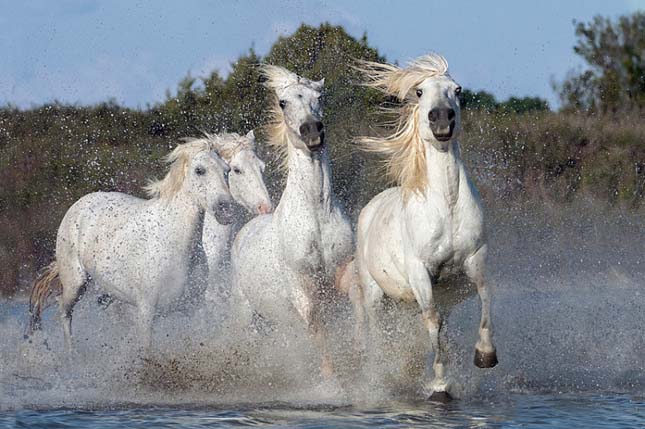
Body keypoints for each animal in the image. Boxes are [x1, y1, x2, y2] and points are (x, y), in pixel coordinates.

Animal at [28, 139, 234, 350]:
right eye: (199, 170)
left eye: (227, 170)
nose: (226, 210)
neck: (174, 243)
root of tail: (80, 204)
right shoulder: (146, 312)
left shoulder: (189, 309)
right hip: (75, 283)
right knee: (64, 310)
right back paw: (70, 353)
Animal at [231, 64, 352, 374]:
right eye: (283, 103)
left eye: (319, 96)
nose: (312, 131)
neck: (316, 215)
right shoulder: (301, 288)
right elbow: (317, 329)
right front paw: (331, 379)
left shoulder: (344, 271)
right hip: (245, 312)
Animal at [342, 54, 498, 402]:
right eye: (419, 91)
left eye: (457, 89)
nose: (441, 120)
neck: (447, 205)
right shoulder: (420, 271)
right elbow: (432, 320)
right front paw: (440, 385)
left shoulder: (476, 258)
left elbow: (485, 296)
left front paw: (485, 355)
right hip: (375, 295)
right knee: (376, 332)